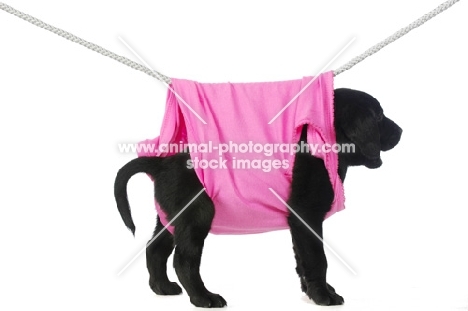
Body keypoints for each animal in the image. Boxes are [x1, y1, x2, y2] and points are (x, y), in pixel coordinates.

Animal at [113, 88, 402, 308]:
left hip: (172, 218)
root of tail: (160, 163)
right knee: (184, 260)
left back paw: (162, 287)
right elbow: (317, 258)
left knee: (155, 248)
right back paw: (204, 298)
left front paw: (312, 291)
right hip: (197, 214)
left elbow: (302, 259)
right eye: (379, 116)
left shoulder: (297, 223)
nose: (401, 131)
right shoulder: (307, 215)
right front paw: (323, 295)